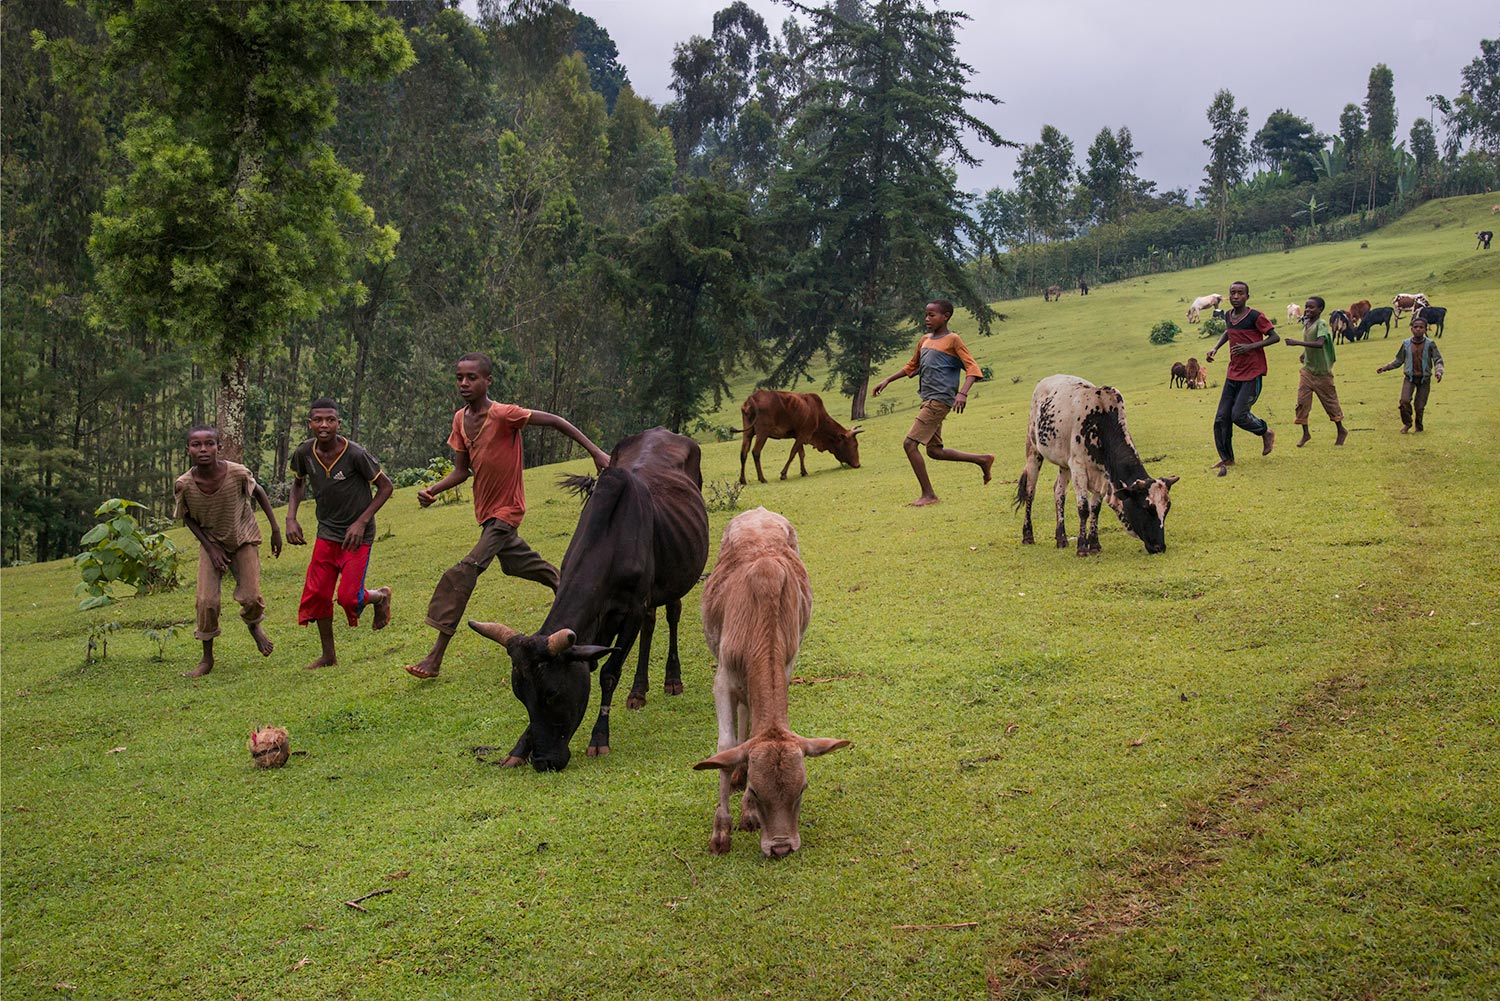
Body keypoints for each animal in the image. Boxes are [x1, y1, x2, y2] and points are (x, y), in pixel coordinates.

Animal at [471, 426, 711, 774]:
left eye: (553, 694)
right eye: (521, 696)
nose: (544, 761)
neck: (611, 538)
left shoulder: (632, 609)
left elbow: (609, 673)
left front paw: (599, 738)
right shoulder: (599, 620)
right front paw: (519, 748)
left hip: (677, 575)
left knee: (672, 614)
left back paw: (672, 679)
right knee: (651, 623)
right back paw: (638, 692)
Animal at [690, 513, 846, 858]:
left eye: (801, 790)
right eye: (758, 792)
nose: (781, 847)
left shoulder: (786, 666)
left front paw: (746, 813)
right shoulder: (723, 679)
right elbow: (725, 745)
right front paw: (721, 831)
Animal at [1014, 373, 1176, 555]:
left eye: (1166, 509)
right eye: (1146, 507)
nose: (1159, 547)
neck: (1101, 420)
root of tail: (1046, 380)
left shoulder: (1102, 474)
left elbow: (1095, 508)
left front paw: (1094, 544)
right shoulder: (1078, 467)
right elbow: (1083, 509)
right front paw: (1082, 547)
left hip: (1064, 464)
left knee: (1059, 493)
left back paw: (1061, 538)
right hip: (1033, 450)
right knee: (1030, 491)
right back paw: (1028, 535)